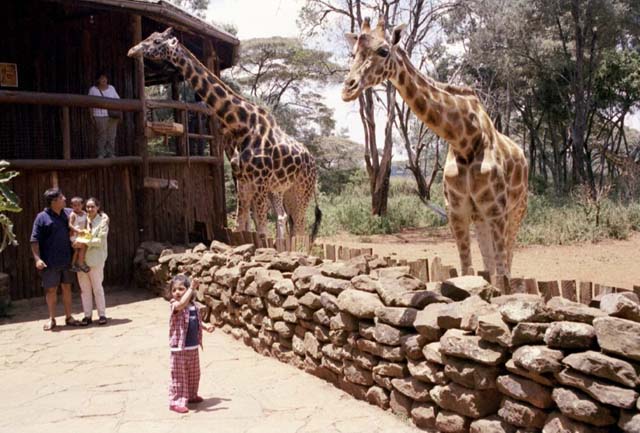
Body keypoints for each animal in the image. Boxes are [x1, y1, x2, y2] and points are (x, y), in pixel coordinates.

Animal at [127, 28, 322, 241]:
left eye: (156, 41)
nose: (131, 50)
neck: (241, 124)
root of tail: (314, 162)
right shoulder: (243, 180)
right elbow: (240, 225)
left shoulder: (260, 181)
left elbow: (261, 229)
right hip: (284, 190)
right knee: (289, 221)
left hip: (302, 190)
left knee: (300, 226)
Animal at [342, 18, 528, 276]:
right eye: (353, 53)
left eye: (383, 51)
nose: (348, 88)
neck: (464, 139)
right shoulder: (457, 212)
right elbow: (470, 272)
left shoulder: (496, 210)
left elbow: (503, 275)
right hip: (481, 217)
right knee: (489, 265)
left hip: (516, 211)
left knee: (507, 261)